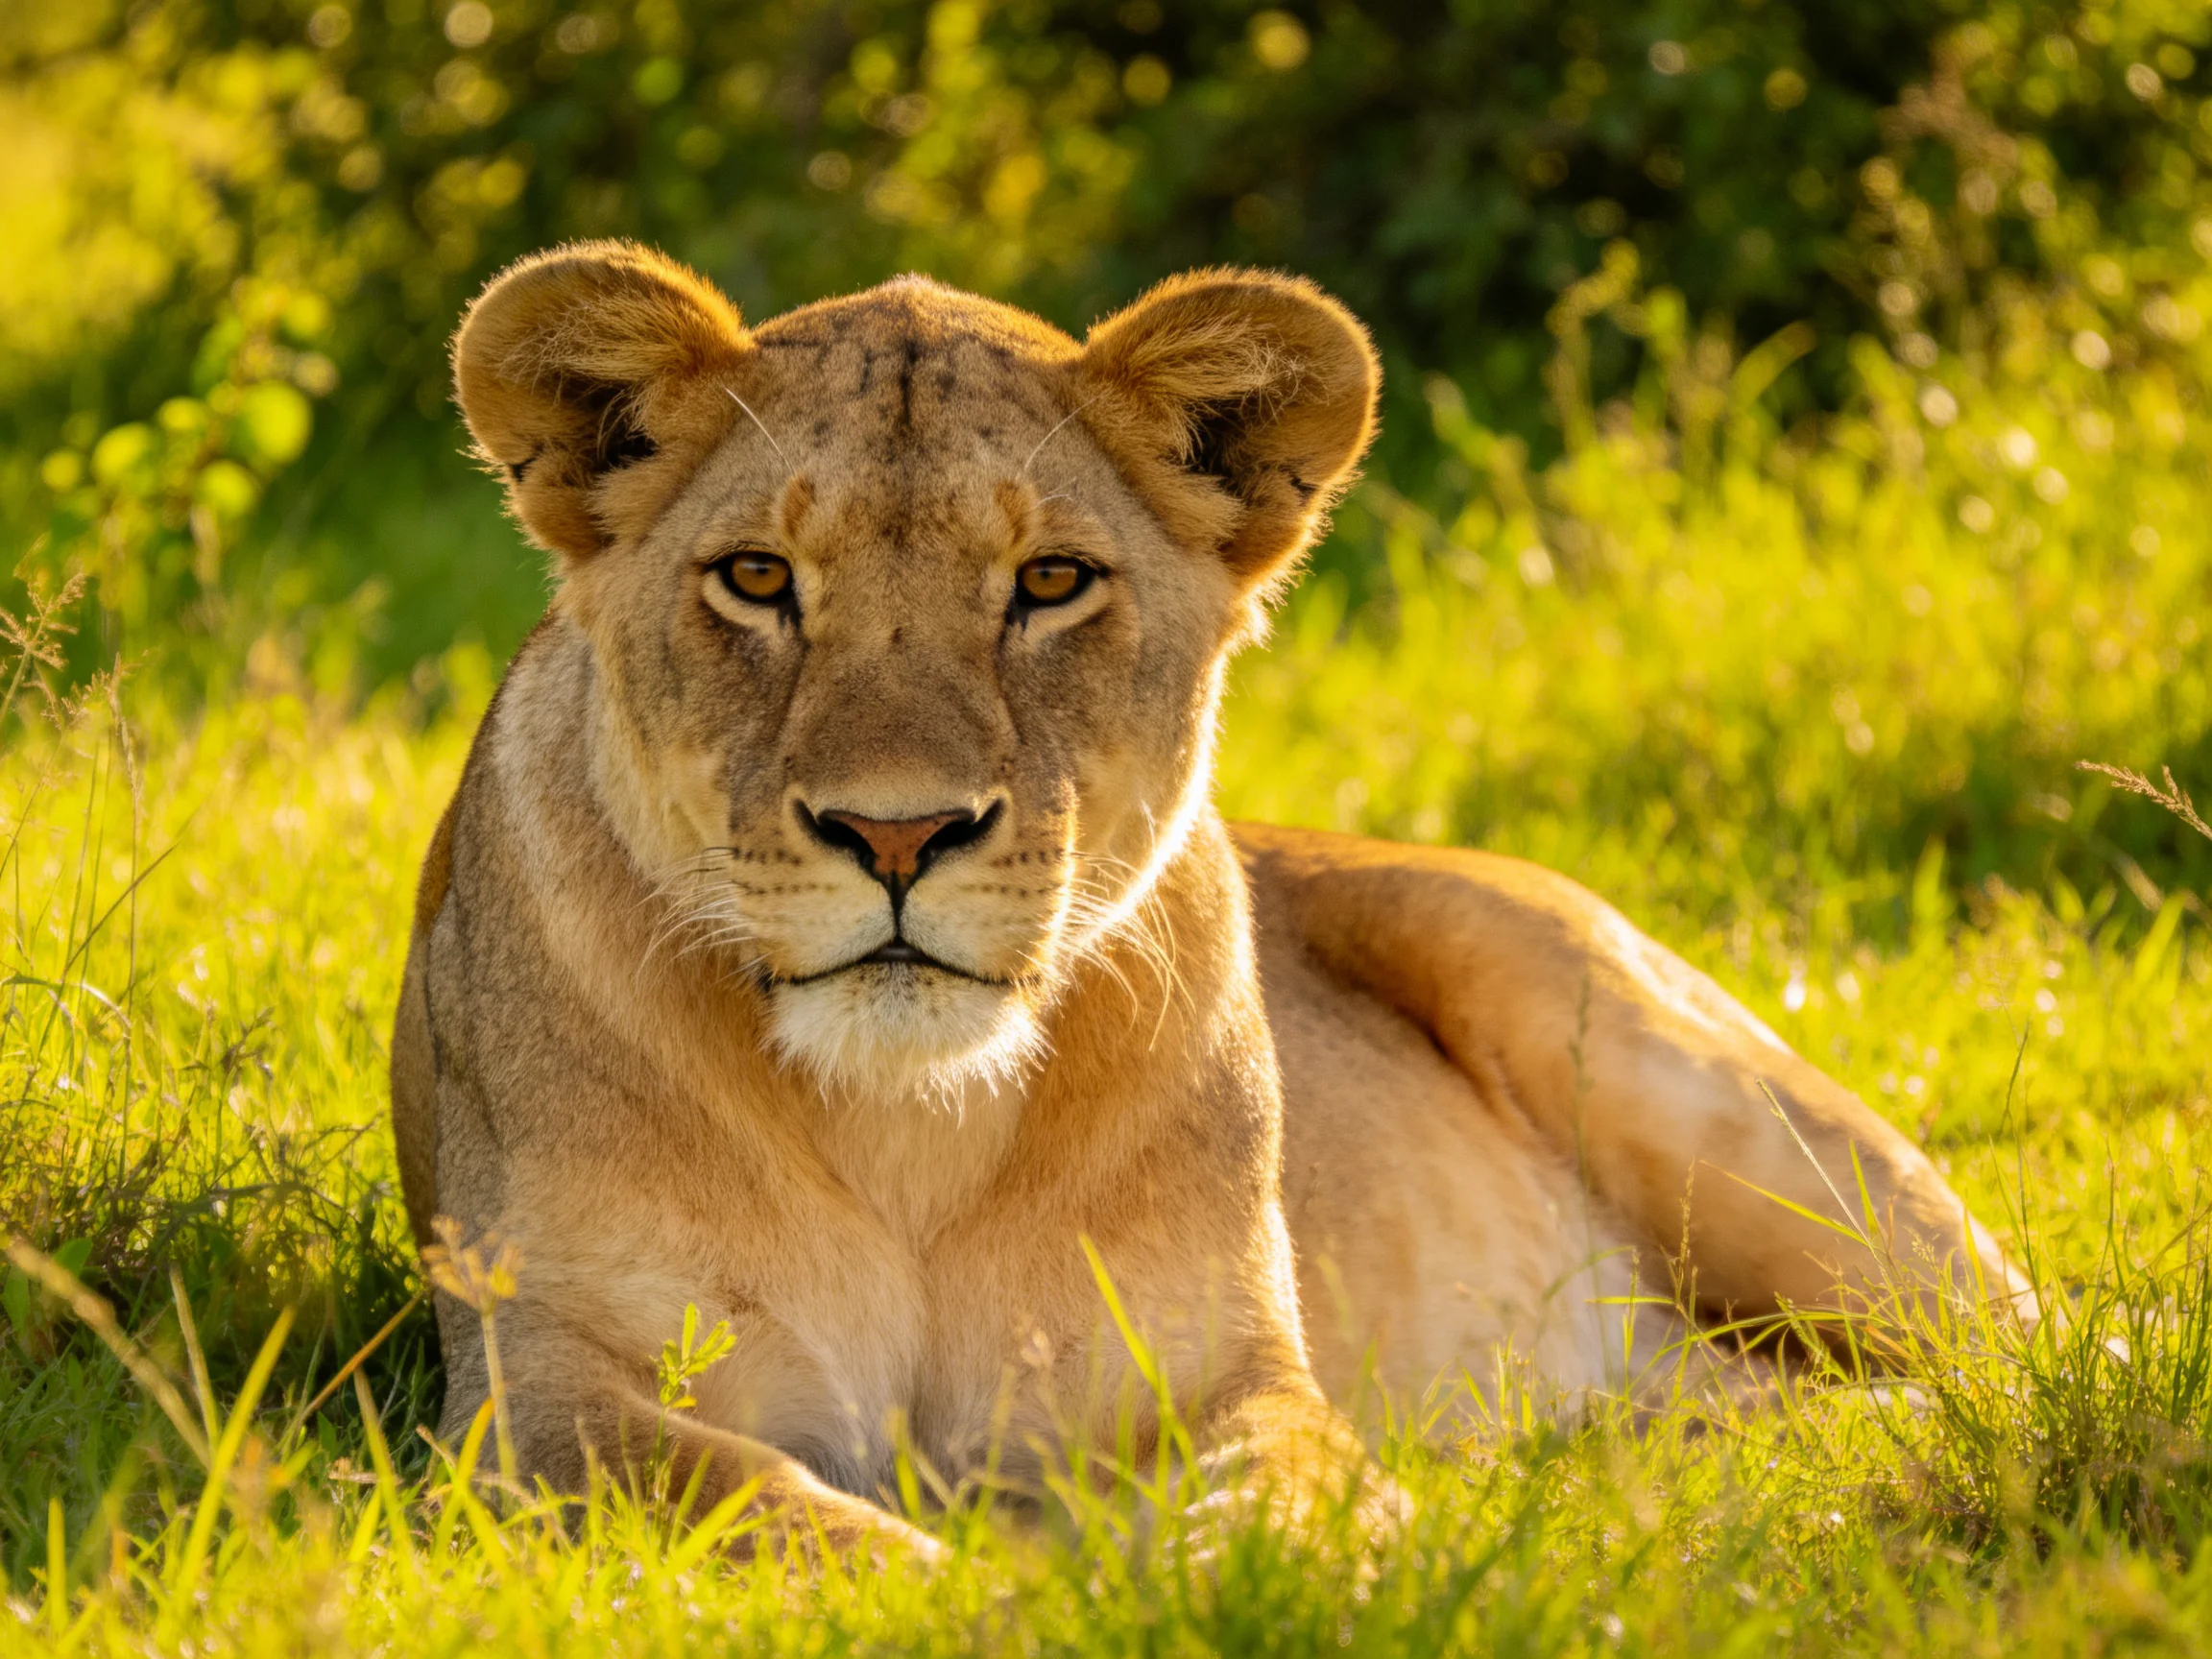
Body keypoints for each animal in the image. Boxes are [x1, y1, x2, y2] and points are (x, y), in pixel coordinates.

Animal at [392, 241, 2029, 1558]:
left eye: (1052, 582)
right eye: (755, 578)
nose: (899, 831)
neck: (911, 1123)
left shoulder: (1225, 1373)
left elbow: (1289, 1494)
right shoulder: (525, 1390)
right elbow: (742, 1503)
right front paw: (954, 1590)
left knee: (2001, 1365)